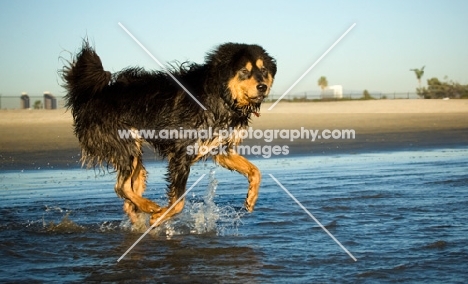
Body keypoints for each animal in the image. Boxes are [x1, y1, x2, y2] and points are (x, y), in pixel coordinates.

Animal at [62, 41, 274, 226]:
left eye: (264, 71)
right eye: (244, 71)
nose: (262, 86)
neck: (219, 96)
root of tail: (90, 96)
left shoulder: (220, 149)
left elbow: (256, 171)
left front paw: (251, 198)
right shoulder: (182, 155)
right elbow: (178, 202)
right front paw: (159, 217)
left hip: (136, 161)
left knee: (128, 200)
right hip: (125, 145)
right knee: (121, 187)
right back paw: (150, 207)